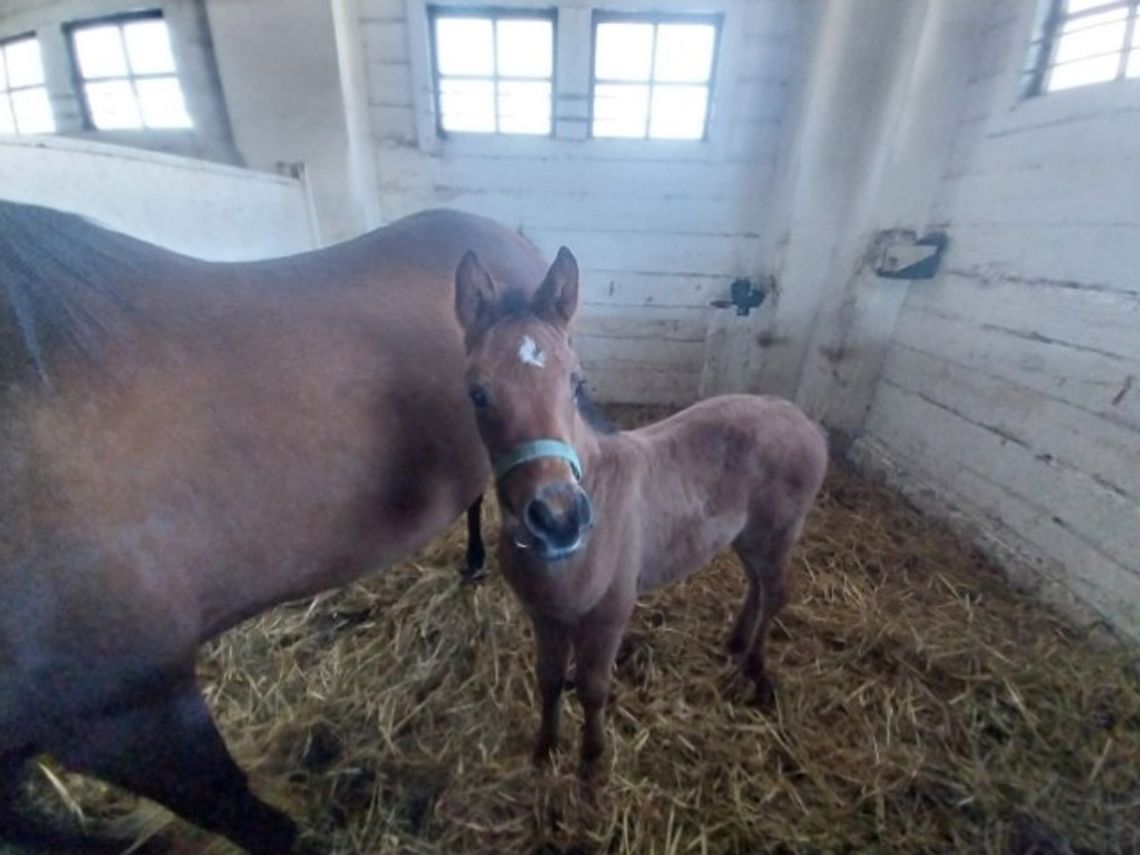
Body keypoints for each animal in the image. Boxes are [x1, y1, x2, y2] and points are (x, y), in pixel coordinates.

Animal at [451, 246, 829, 775]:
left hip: (780, 531)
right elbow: (548, 679)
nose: (559, 519)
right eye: (477, 394)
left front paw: (591, 762)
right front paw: (545, 750)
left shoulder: (611, 613)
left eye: (577, 383)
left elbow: (593, 689)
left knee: (776, 592)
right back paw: (735, 643)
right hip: (746, 536)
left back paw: (756, 671)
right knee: (756, 584)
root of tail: (804, 421)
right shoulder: (544, 615)